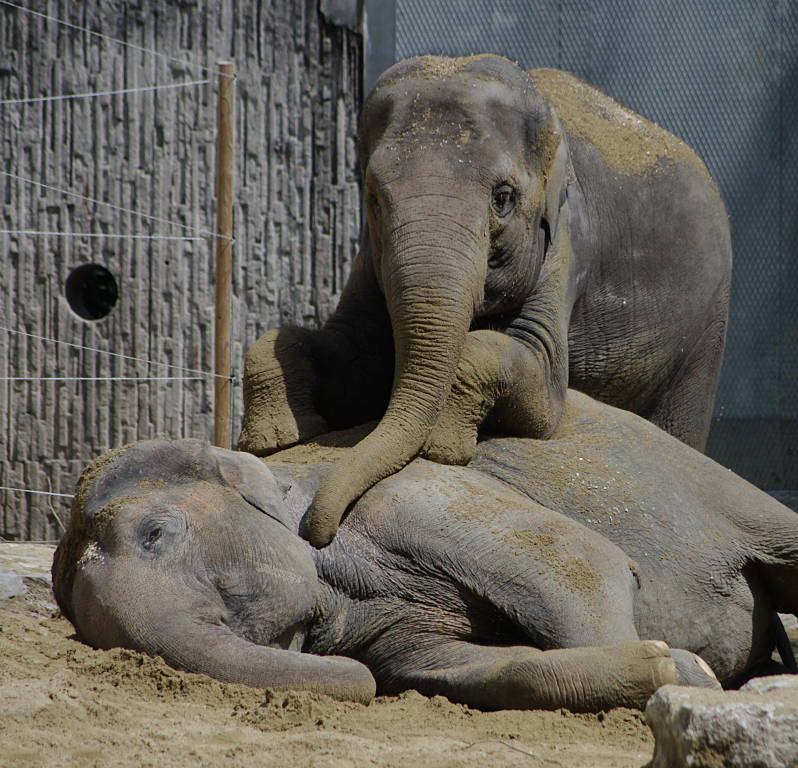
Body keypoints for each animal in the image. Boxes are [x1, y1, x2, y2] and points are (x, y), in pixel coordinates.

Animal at [53, 392, 796, 712]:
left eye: (155, 534)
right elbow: (466, 669)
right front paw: (671, 666)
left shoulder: (418, 494)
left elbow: (579, 561)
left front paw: (684, 671)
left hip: (723, 494)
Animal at [241, 54, 736, 544]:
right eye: (374, 197)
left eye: (503, 198)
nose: (315, 533)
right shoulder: (369, 256)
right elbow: (354, 361)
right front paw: (274, 439)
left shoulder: (566, 240)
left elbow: (539, 373)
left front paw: (442, 450)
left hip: (709, 328)